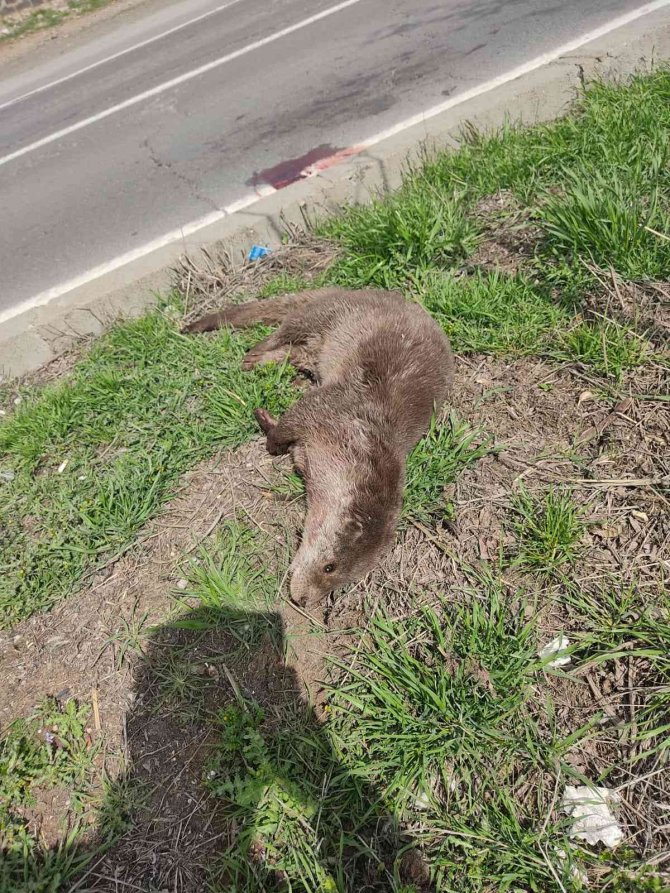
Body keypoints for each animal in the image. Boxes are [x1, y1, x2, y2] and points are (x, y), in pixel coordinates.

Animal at [185, 288, 456, 608]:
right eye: (330, 566)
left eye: (342, 581)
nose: (305, 601)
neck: (356, 436)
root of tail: (353, 290)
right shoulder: (326, 407)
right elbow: (290, 422)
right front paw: (270, 439)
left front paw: (265, 421)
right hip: (324, 314)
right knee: (284, 331)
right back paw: (253, 354)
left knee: (294, 351)